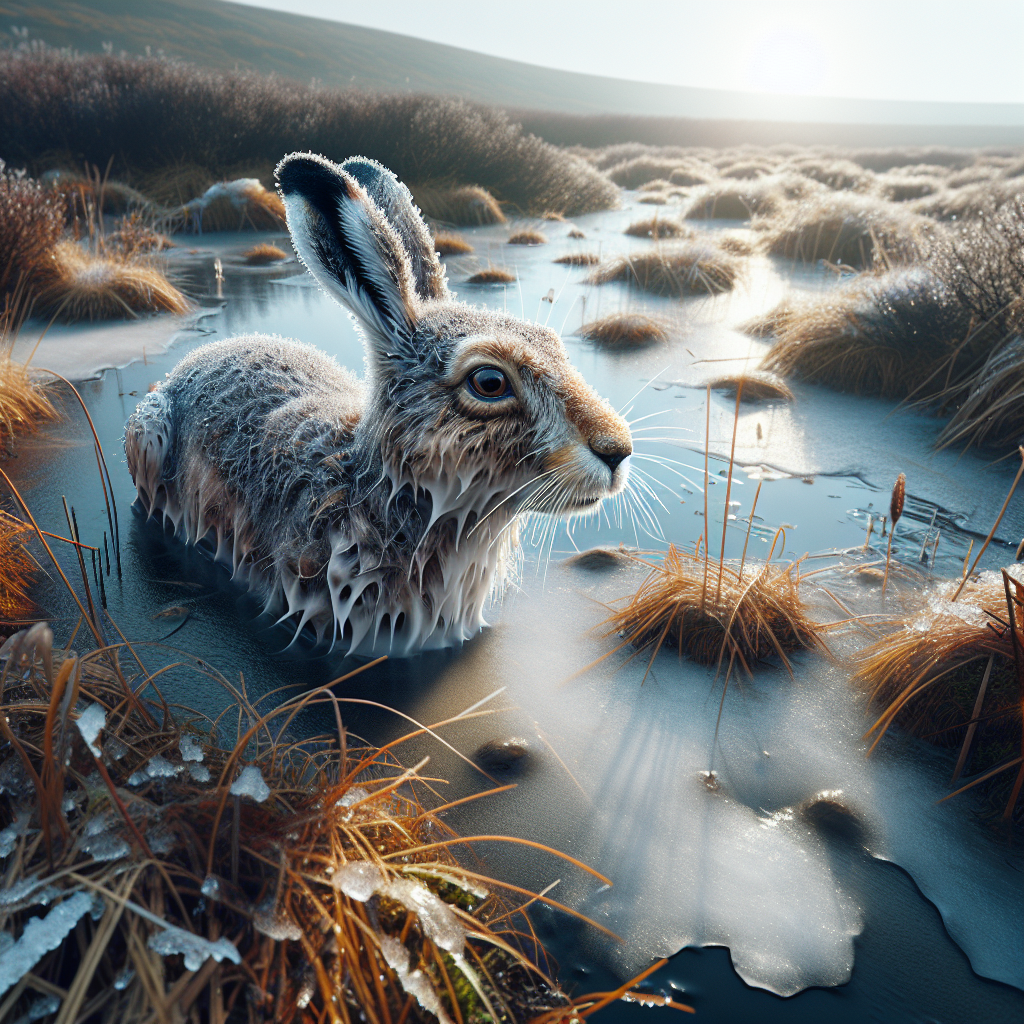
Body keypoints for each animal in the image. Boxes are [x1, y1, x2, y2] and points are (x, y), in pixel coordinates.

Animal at [125, 153, 632, 656]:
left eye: (554, 345)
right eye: (489, 382)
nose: (617, 450)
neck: (380, 490)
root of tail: (193, 361)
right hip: (146, 435)